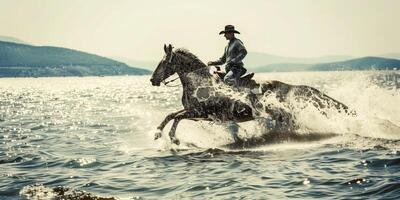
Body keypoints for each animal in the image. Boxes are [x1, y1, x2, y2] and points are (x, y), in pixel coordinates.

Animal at [150, 43, 354, 145]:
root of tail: (288, 85)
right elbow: (173, 115)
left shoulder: (200, 113)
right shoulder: (198, 115)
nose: (152, 80)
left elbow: (174, 116)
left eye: (164, 62)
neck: (200, 83)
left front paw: (167, 136)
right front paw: (165, 135)